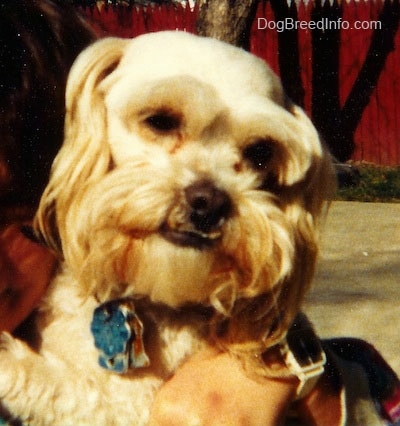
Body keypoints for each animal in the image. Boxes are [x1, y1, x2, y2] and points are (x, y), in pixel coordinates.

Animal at [0, 31, 332, 424]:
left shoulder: (131, 406)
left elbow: (70, 389)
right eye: (160, 120)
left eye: (260, 152)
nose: (210, 202)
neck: (148, 295)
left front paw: (8, 360)